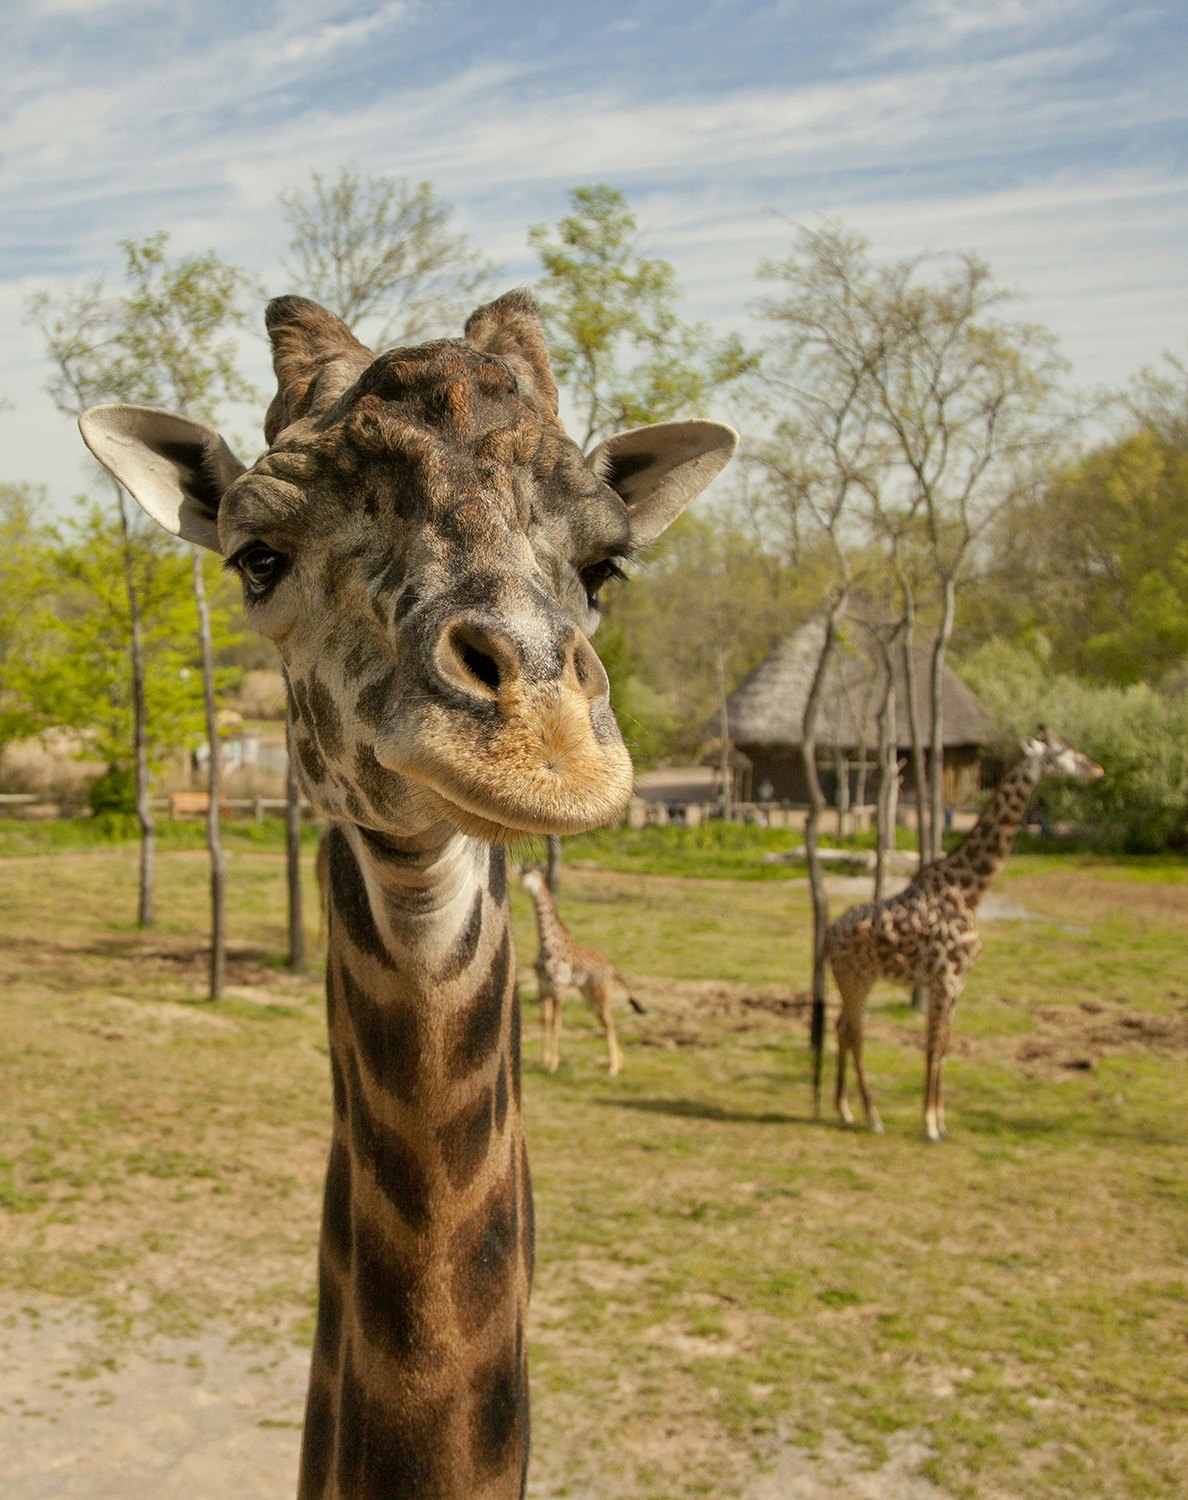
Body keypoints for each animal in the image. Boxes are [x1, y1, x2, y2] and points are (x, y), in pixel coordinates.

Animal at [516, 870, 639, 1080]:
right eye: (523, 871)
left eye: (529, 873)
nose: (518, 880)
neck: (547, 943)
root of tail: (613, 970)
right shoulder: (543, 988)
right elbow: (545, 1021)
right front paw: (543, 1061)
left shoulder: (559, 988)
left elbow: (556, 1023)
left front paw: (552, 1065)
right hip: (588, 993)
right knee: (606, 1020)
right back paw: (620, 1063)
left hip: (599, 992)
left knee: (609, 1021)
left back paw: (613, 1067)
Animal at [828, 726, 1104, 1134]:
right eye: (1062, 752)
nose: (1098, 769)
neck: (971, 890)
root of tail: (827, 936)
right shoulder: (946, 977)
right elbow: (933, 1044)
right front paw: (929, 1124)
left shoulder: (958, 981)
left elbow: (945, 1043)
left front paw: (941, 1122)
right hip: (857, 980)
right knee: (854, 1033)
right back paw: (872, 1117)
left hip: (858, 981)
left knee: (841, 1027)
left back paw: (845, 1110)